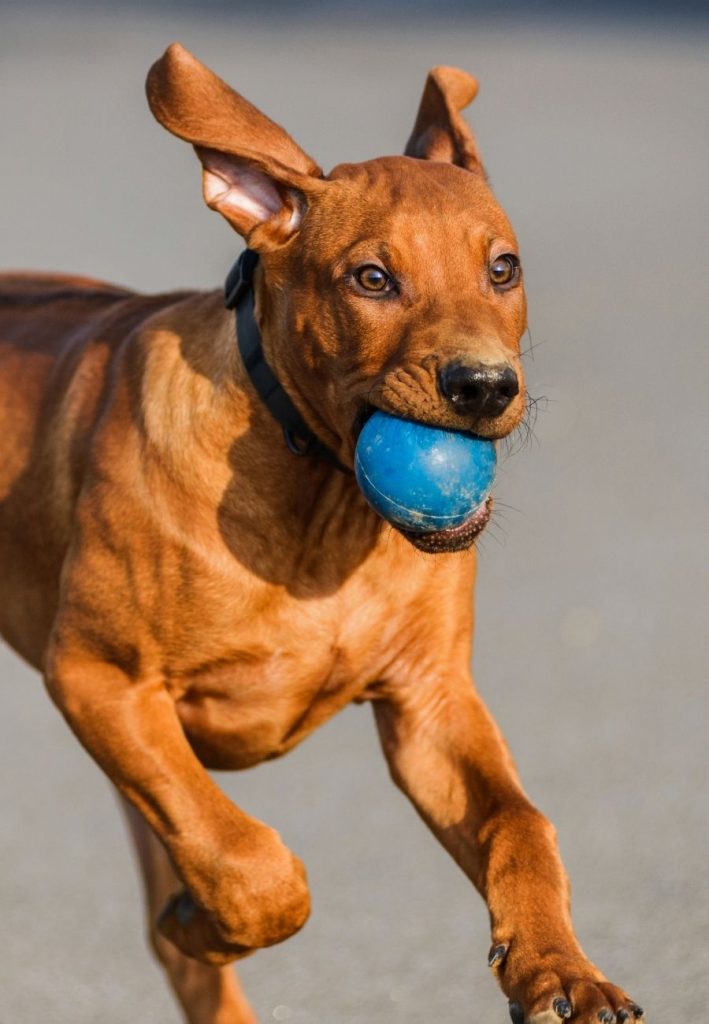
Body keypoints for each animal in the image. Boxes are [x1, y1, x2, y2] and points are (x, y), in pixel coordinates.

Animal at [0, 41, 643, 1024]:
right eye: (371, 279)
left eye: (502, 269)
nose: (484, 387)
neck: (316, 500)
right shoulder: (98, 678)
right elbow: (253, 865)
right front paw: (209, 920)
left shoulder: (429, 703)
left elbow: (519, 824)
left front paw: (560, 969)